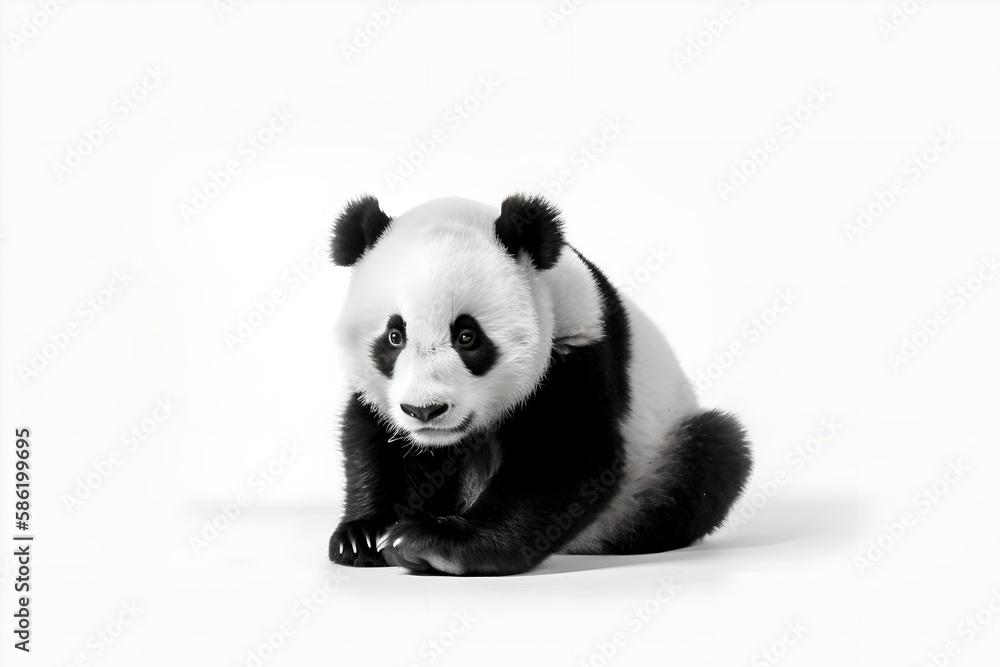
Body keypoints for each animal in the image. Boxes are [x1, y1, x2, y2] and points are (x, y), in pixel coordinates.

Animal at [327, 193, 752, 575]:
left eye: (467, 337)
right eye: (394, 337)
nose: (425, 410)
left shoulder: (577, 348)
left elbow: (565, 455)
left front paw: (435, 543)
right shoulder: (385, 400)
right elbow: (375, 441)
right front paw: (364, 536)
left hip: (658, 456)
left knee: (713, 452)